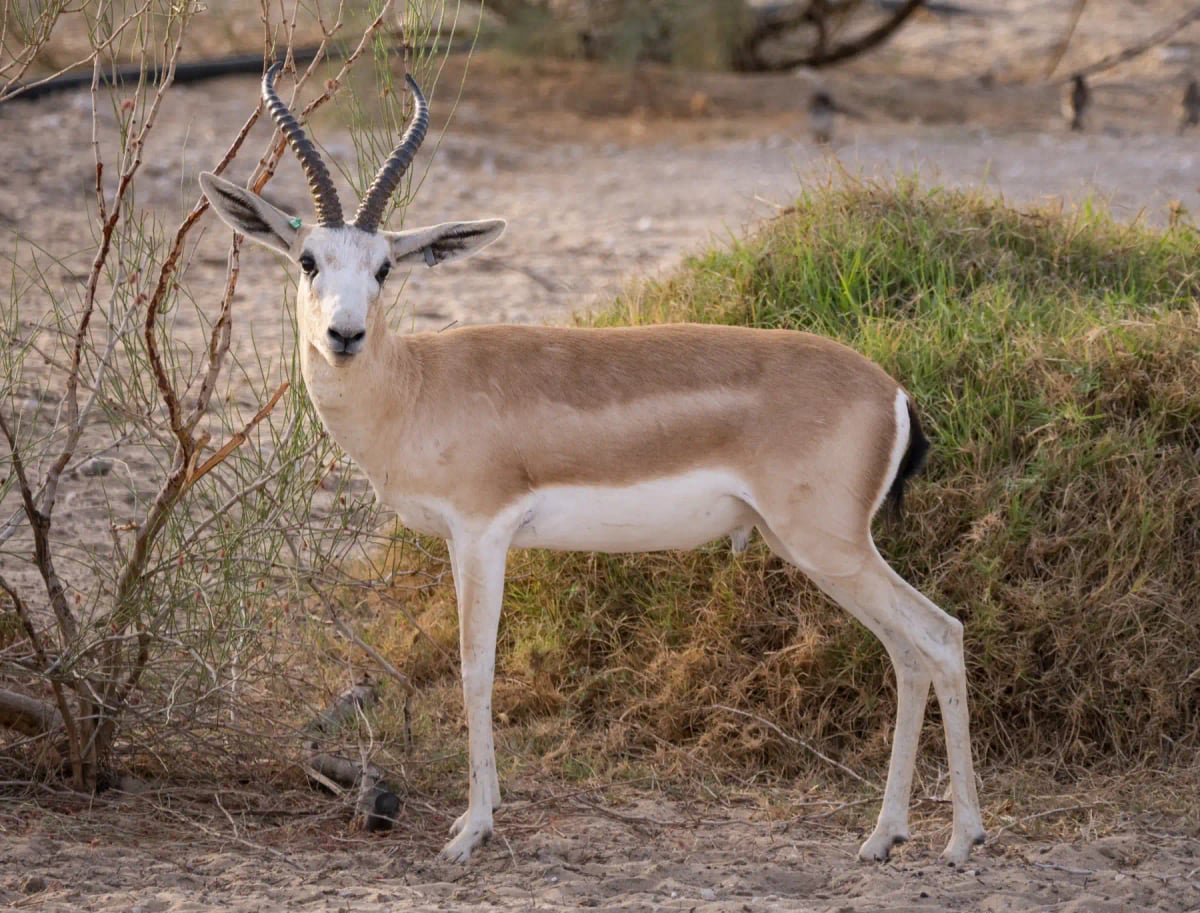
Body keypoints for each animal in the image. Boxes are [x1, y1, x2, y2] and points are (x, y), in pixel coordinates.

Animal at [200, 63, 985, 865]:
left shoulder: (482, 533)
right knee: (907, 652)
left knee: (940, 634)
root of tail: (893, 392)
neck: (417, 385)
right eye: (308, 261)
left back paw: (961, 838)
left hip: (829, 546)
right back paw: (885, 835)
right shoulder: (461, 541)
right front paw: (475, 816)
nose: (345, 334)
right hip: (816, 550)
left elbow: (476, 668)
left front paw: (472, 830)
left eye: (385, 266)